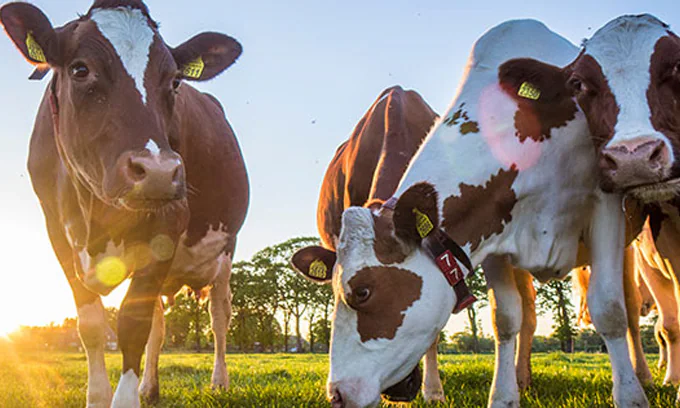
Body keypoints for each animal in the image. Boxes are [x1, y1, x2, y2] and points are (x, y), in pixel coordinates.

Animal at [0, 1, 248, 407]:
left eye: (175, 81)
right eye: (80, 69)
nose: (159, 171)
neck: (95, 212)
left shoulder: (168, 223)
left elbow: (132, 325)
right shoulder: (57, 233)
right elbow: (91, 325)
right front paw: (99, 396)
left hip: (225, 252)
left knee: (218, 316)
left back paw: (219, 381)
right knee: (160, 325)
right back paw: (150, 387)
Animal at [291, 15, 680, 407]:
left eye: (362, 292)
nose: (337, 393)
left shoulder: (606, 208)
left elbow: (610, 310)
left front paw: (630, 396)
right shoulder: (493, 233)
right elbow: (505, 319)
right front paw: (504, 396)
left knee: (630, 307)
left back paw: (645, 376)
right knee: (528, 314)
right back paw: (523, 379)